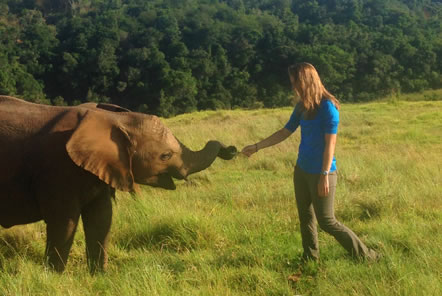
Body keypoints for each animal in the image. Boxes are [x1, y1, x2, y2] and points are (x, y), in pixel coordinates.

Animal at [0, 96, 237, 272]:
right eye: (165, 156)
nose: (231, 149)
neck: (114, 119)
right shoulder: (58, 168)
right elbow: (64, 222)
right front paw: (54, 277)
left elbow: (102, 218)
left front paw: (99, 276)